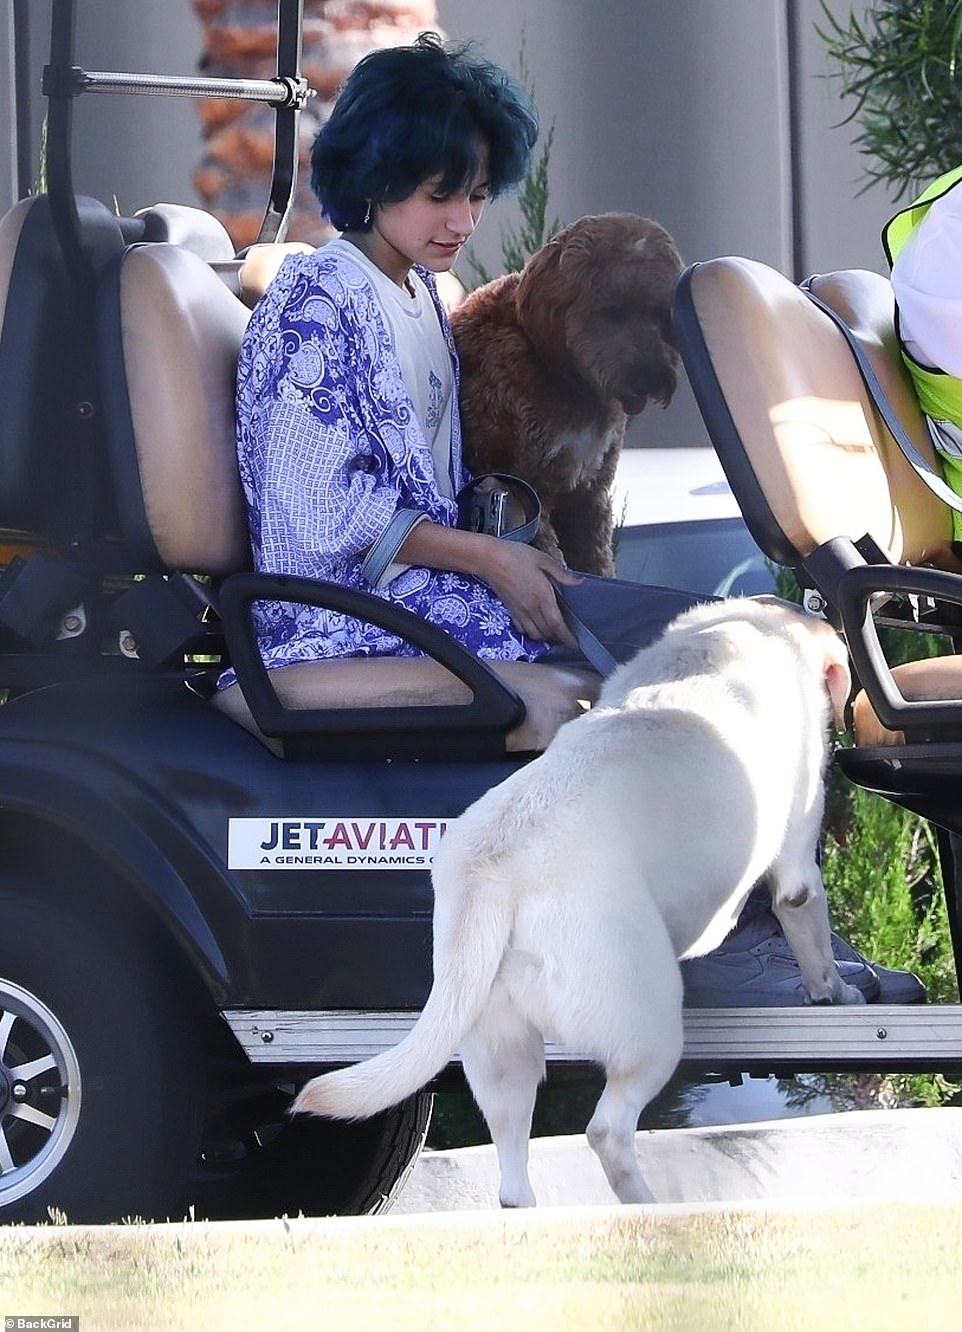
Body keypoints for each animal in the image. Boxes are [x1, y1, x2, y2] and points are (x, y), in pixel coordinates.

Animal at [290, 602, 852, 1209]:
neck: (739, 630)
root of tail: (497, 870)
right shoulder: (798, 867)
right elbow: (811, 933)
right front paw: (838, 992)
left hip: (498, 1050)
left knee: (513, 1176)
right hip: (646, 1031)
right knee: (607, 1130)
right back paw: (647, 1208)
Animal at [450, 210, 682, 575]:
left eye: (659, 313)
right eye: (612, 311)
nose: (650, 378)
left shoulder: (588, 494)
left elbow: (597, 560)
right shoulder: (527, 487)